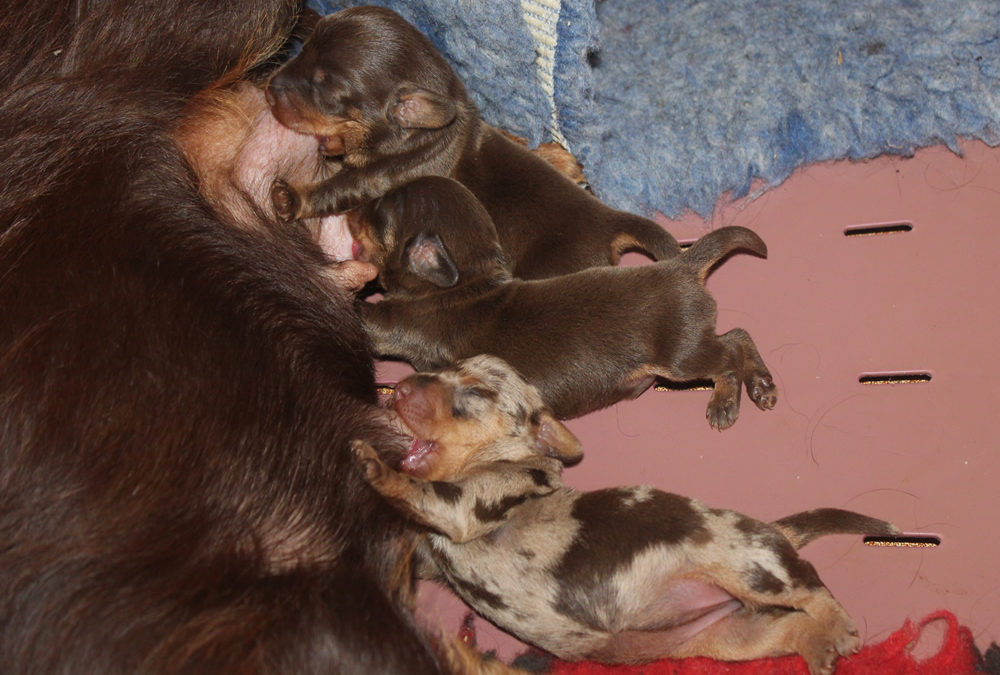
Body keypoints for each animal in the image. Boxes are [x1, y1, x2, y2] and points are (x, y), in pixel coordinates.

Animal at [266, 5, 680, 280]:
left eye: (328, 90)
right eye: (304, 47)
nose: (269, 87)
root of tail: (609, 222)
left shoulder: (378, 178)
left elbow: (336, 188)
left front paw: (292, 198)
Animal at [352, 356, 900, 672]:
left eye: (475, 392)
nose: (397, 389)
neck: (501, 461)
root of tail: (772, 529)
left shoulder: (467, 506)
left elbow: (418, 490)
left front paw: (372, 463)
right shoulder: (431, 552)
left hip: (752, 566)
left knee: (811, 585)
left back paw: (839, 627)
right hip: (730, 637)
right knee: (786, 629)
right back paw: (818, 647)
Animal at [356, 174, 776, 428]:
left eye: (382, 210)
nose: (352, 208)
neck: (468, 282)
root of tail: (683, 265)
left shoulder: (396, 323)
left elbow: (370, 317)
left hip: (681, 356)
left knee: (730, 351)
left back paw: (726, 401)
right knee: (737, 336)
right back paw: (761, 384)